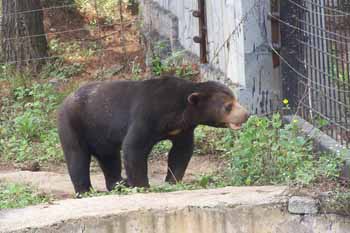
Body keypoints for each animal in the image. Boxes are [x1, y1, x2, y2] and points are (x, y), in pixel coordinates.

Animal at [58, 75, 249, 194]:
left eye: (235, 99)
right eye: (228, 106)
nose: (246, 114)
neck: (178, 111)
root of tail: (65, 100)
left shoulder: (183, 128)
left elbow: (181, 151)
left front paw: (172, 181)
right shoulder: (147, 114)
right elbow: (134, 147)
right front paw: (143, 186)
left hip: (101, 134)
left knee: (109, 158)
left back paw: (119, 183)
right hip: (74, 124)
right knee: (77, 157)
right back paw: (85, 191)